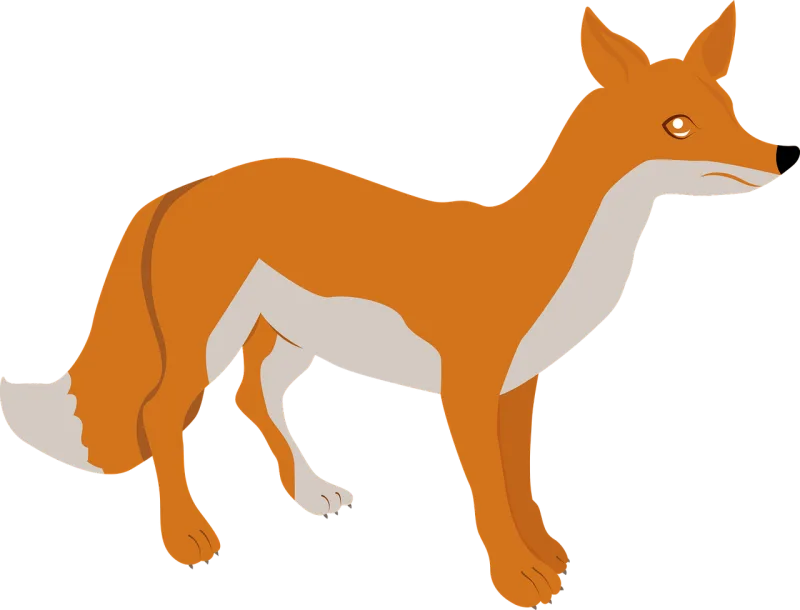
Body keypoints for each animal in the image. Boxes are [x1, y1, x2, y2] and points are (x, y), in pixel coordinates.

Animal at [1, 0, 797, 606]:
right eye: (678, 127)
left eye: (731, 110)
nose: (779, 158)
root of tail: (194, 182)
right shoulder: (468, 388)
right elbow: (491, 492)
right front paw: (518, 579)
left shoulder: (519, 388)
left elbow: (522, 484)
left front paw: (547, 556)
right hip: (209, 337)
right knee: (162, 414)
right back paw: (187, 536)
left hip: (290, 339)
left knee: (253, 400)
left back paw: (312, 493)